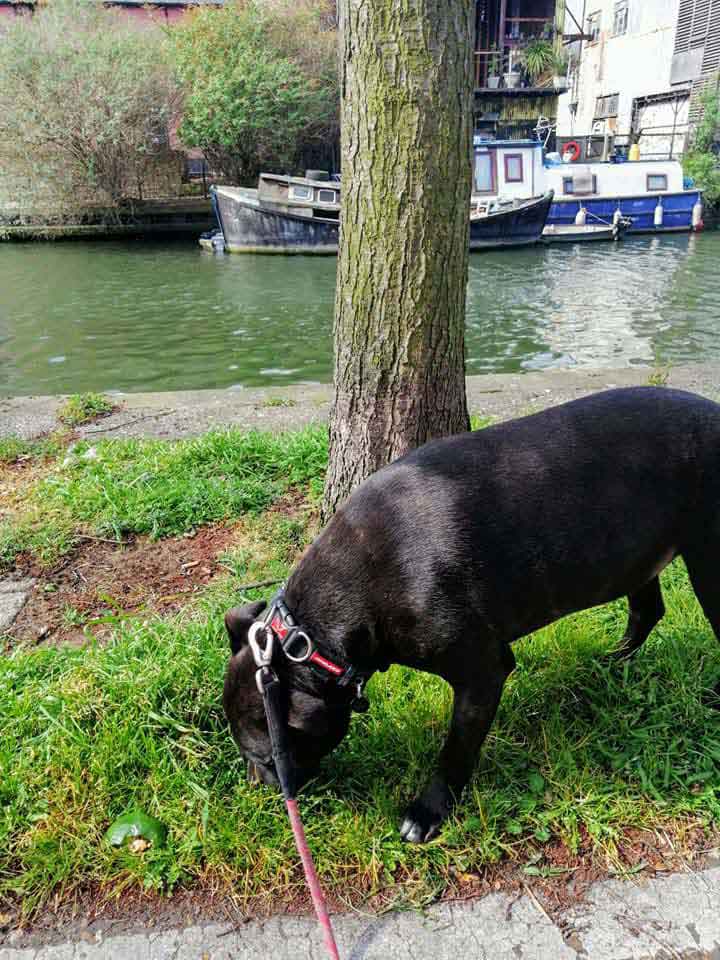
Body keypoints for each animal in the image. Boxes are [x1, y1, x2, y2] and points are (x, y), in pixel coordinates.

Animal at [224, 386, 720, 844]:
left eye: (268, 759)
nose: (261, 788)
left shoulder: (480, 673)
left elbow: (456, 750)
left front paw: (427, 812)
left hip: (706, 558)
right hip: (633, 553)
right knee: (646, 610)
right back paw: (611, 663)